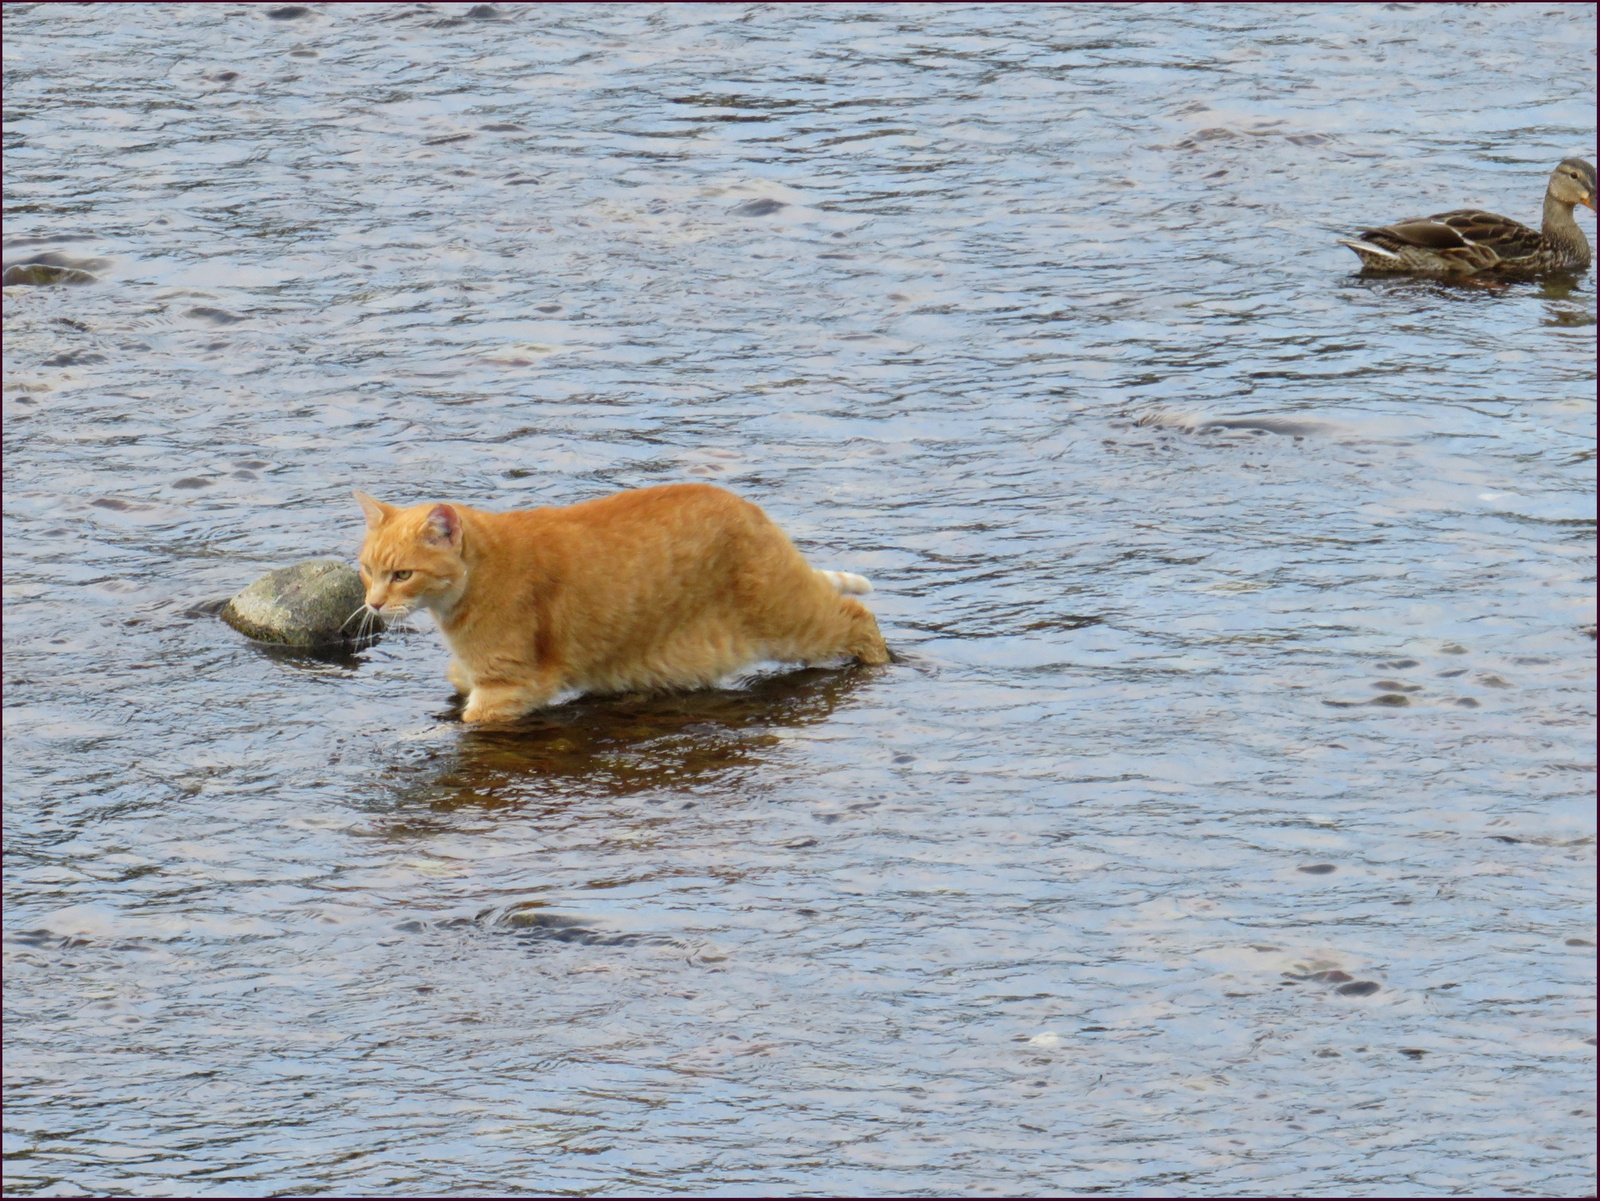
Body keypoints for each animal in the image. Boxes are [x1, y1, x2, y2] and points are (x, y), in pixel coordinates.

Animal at [352, 482, 896, 722]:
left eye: (403, 575)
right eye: (368, 570)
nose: (374, 606)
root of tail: (748, 506)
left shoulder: (508, 689)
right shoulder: (475, 679)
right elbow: (455, 679)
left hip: (790, 621)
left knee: (859, 618)